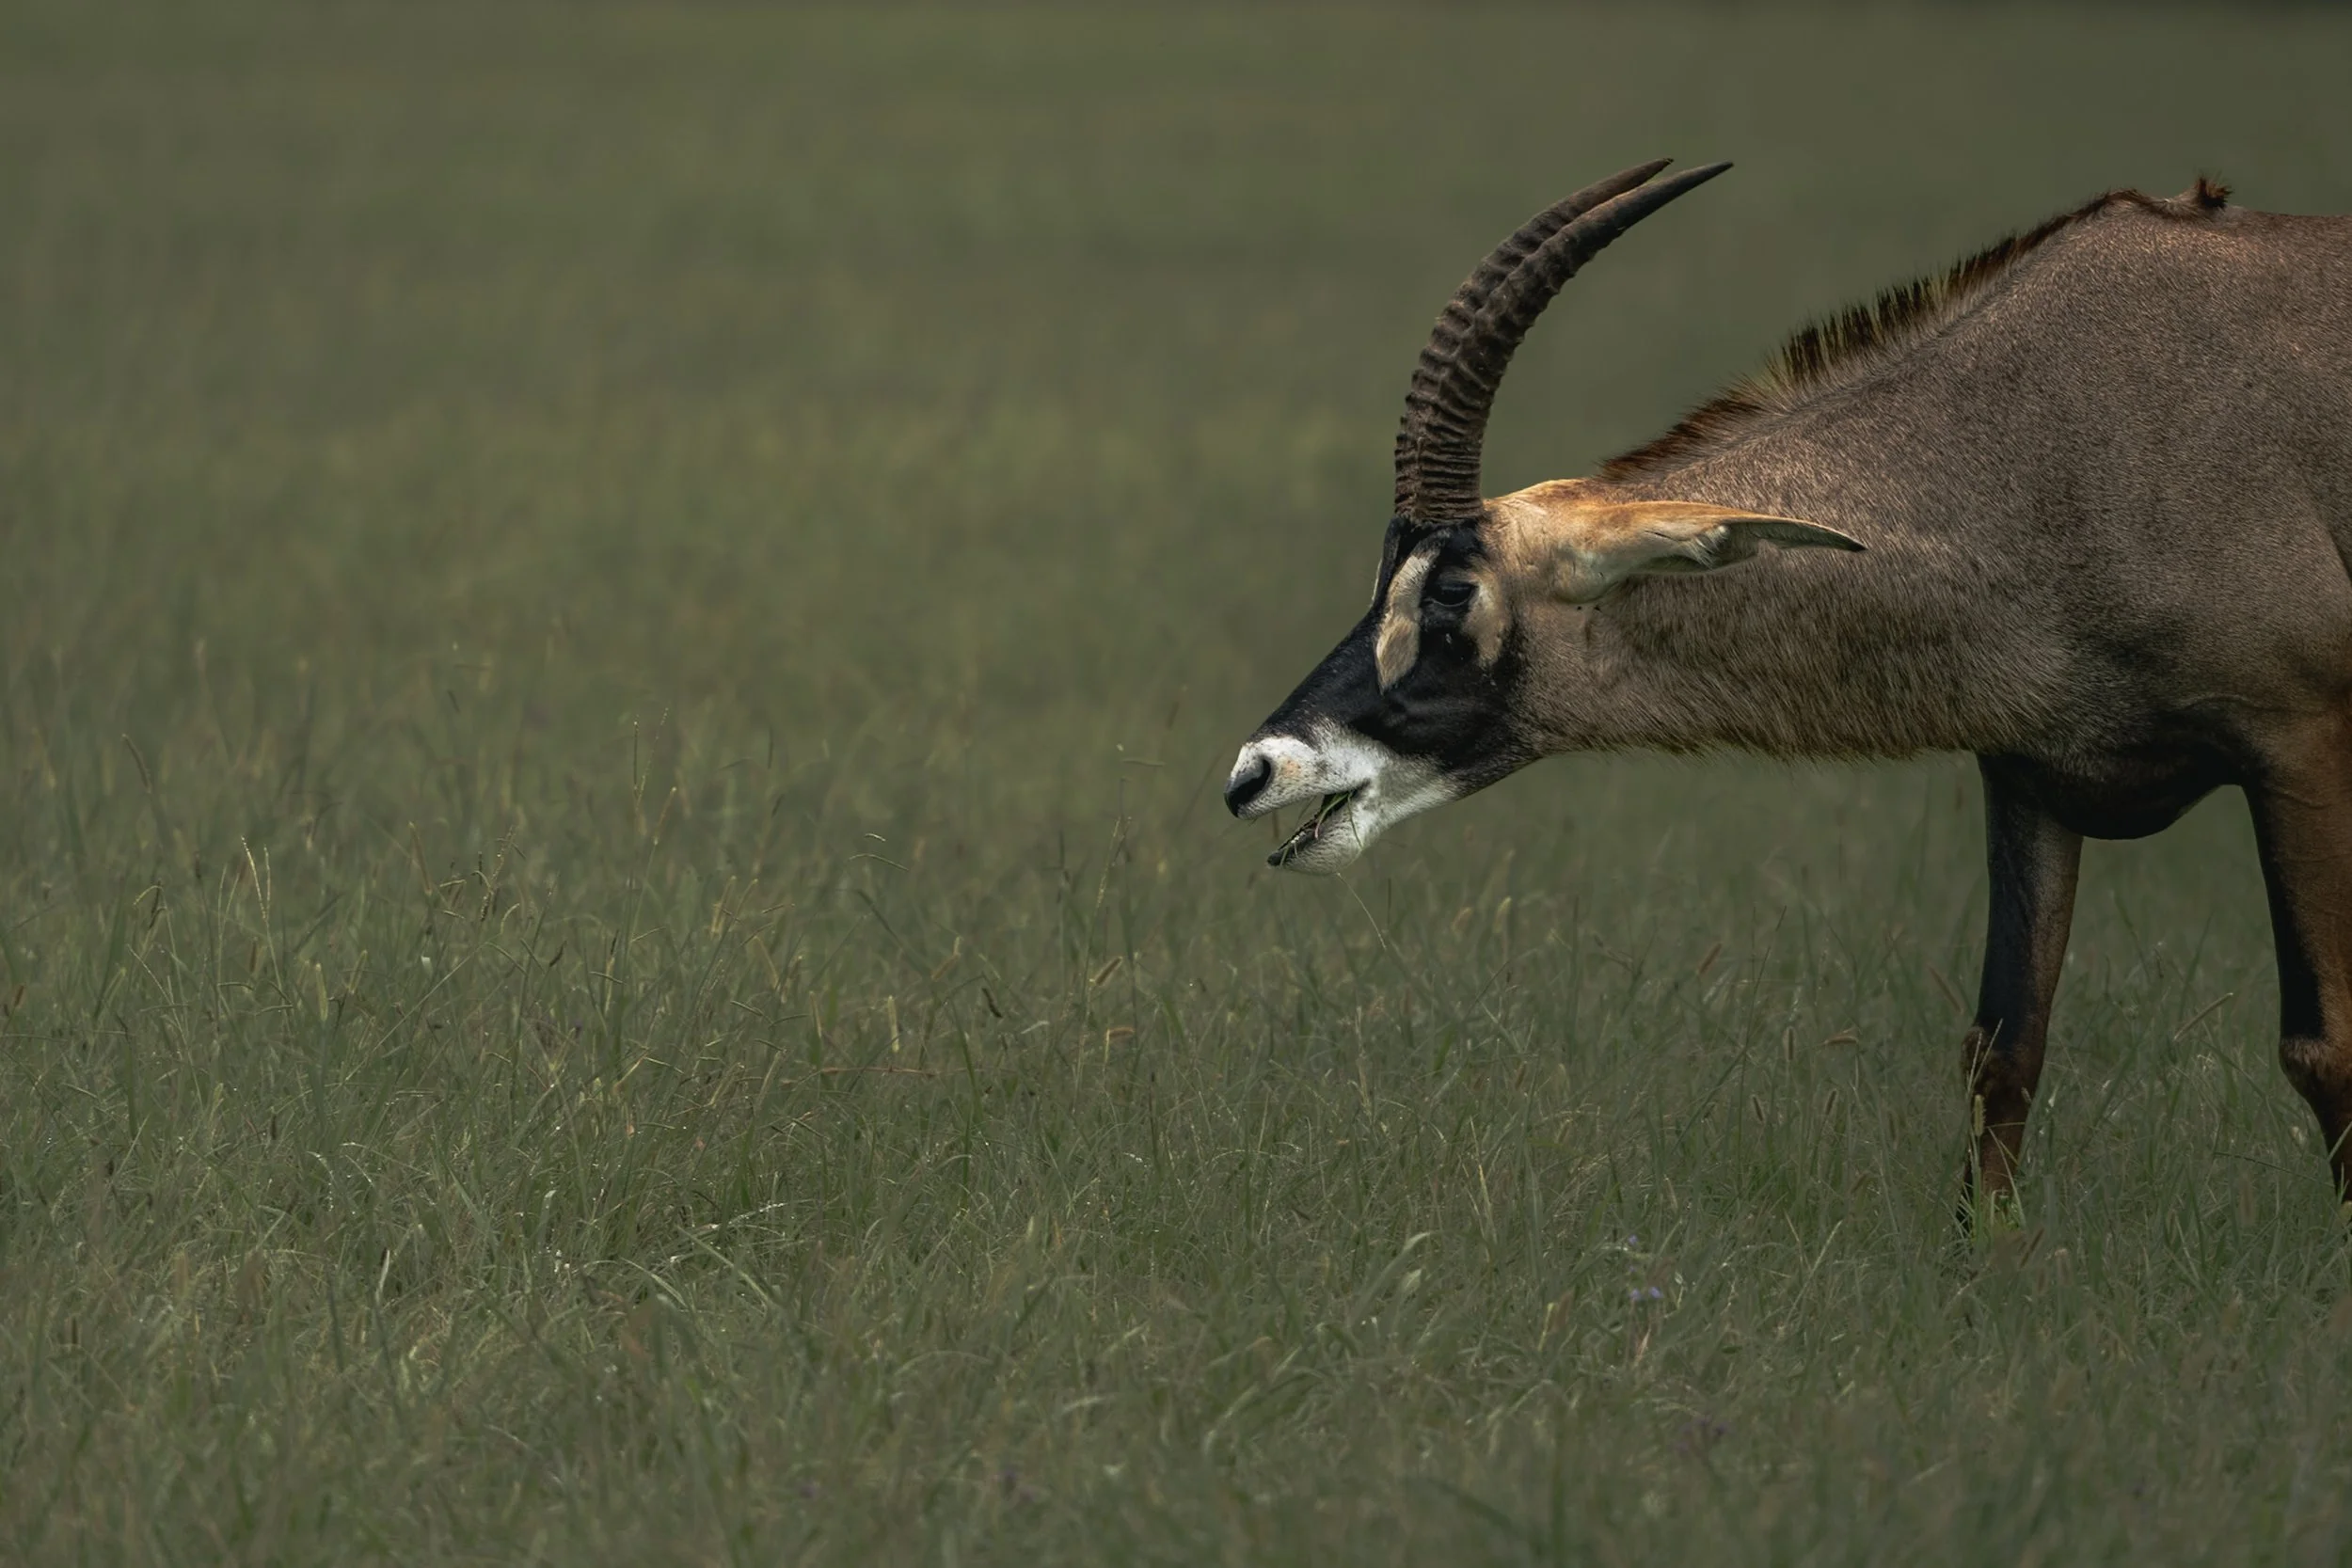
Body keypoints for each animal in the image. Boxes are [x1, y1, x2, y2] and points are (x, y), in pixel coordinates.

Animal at [1223, 160, 2352, 1214]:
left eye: (1454, 591)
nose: (1254, 771)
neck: (2049, 450)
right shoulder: (2028, 775)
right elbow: (2004, 1050)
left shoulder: (2297, 746)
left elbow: (2322, 1047)